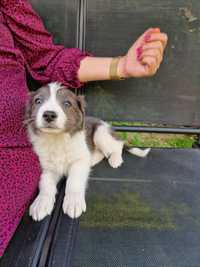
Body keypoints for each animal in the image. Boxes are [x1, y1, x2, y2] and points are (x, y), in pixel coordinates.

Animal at [25, 82, 149, 221]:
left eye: (67, 103)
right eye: (38, 101)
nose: (49, 115)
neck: (57, 139)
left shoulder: (80, 160)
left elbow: (74, 181)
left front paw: (73, 202)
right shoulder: (48, 167)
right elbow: (45, 183)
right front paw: (41, 204)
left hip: (101, 133)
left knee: (118, 145)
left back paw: (115, 160)